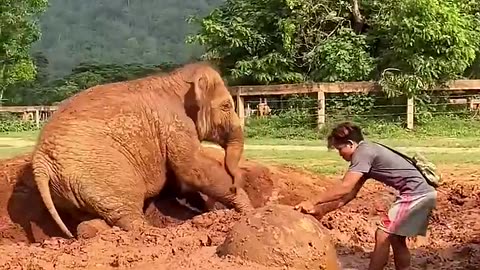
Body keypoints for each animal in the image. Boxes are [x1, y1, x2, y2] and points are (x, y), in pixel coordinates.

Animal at [31, 61, 253, 238]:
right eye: (226, 106)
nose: (236, 179)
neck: (175, 78)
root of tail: (41, 163)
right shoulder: (175, 124)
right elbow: (192, 169)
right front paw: (249, 211)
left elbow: (177, 181)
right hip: (102, 174)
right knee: (129, 215)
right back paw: (151, 234)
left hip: (67, 189)